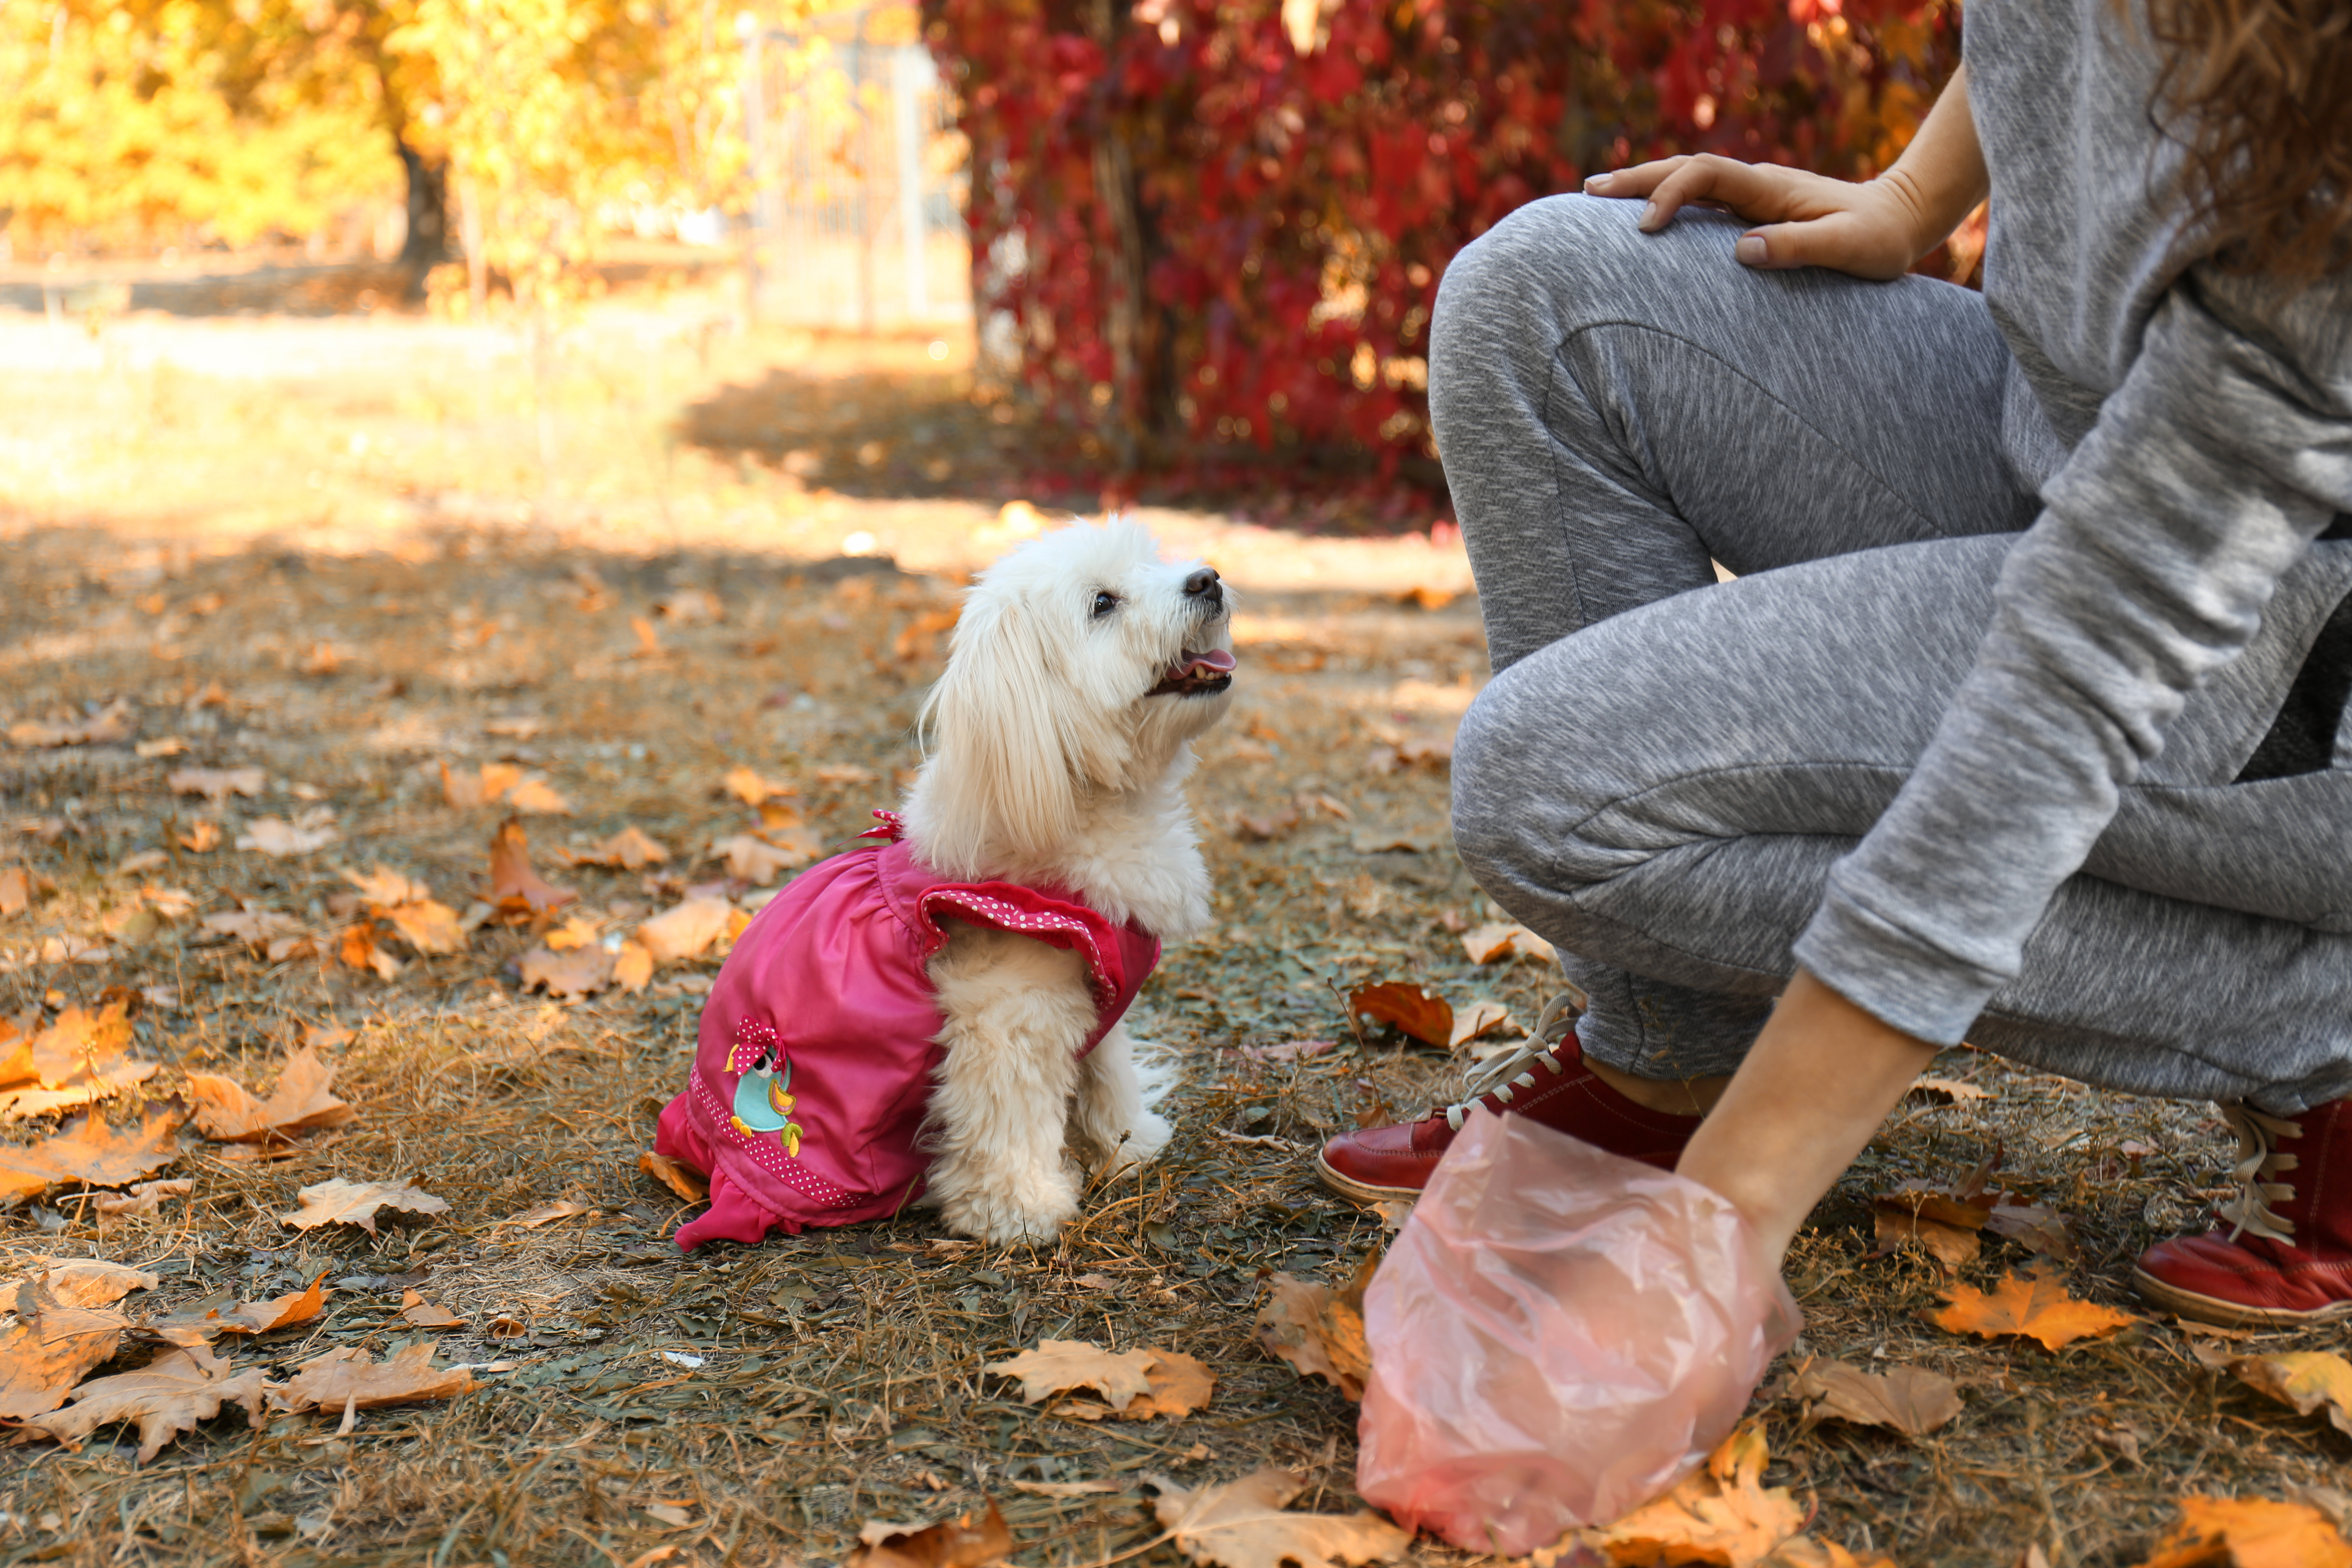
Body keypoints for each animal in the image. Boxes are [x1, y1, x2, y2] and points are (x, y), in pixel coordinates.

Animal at [893, 522, 1232, 1241]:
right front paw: (1018, 1209)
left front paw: (1126, 1144)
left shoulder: (1096, 988)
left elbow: (1107, 1070)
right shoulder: (1007, 1011)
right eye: (1102, 604)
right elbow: (1007, 1116)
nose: (1208, 579)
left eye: (1153, 562)